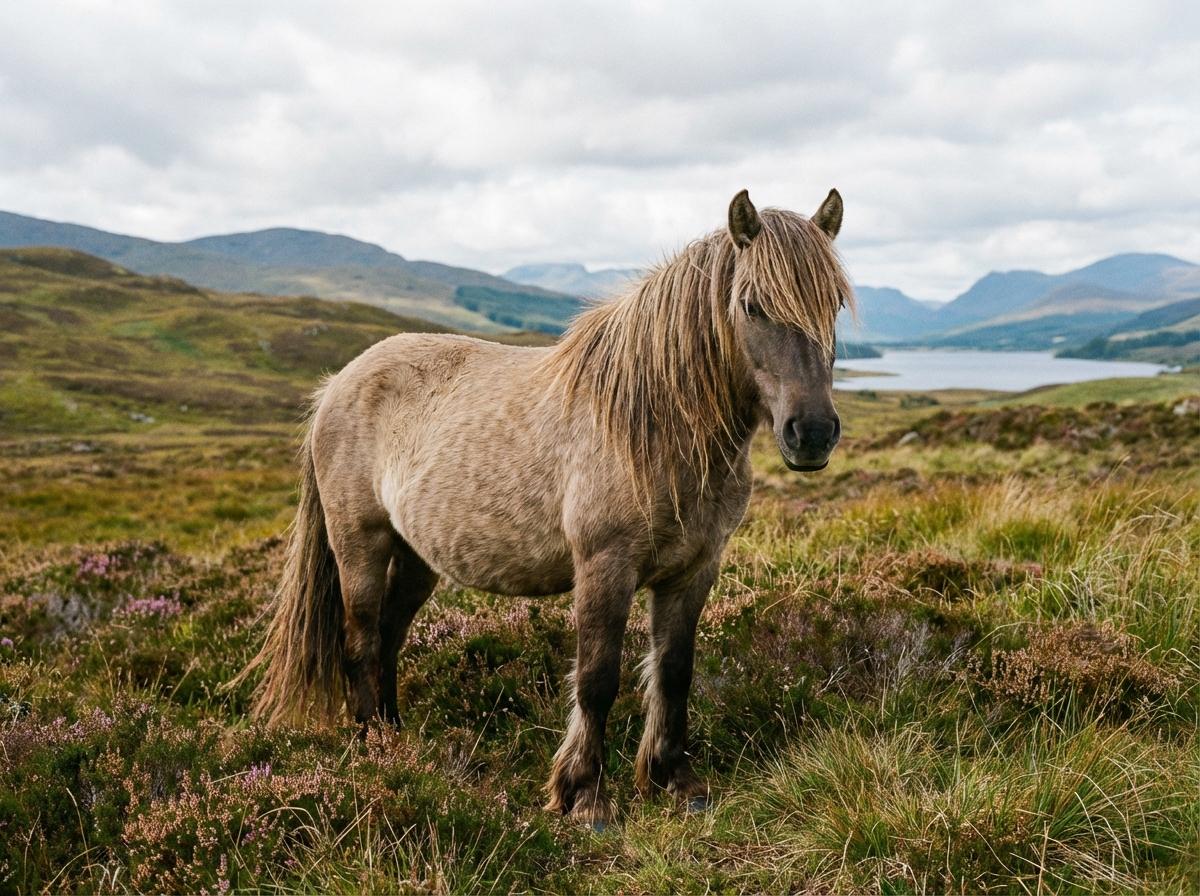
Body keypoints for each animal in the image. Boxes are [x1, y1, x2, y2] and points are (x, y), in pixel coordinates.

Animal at [235, 188, 853, 828]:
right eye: (753, 305)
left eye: (834, 302)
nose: (811, 433)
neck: (654, 427)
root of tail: (336, 383)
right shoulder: (605, 567)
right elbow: (597, 679)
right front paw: (585, 797)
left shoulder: (694, 570)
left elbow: (675, 671)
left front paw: (675, 782)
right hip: (360, 543)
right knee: (359, 641)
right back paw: (369, 752)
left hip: (415, 558)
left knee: (387, 637)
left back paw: (394, 742)